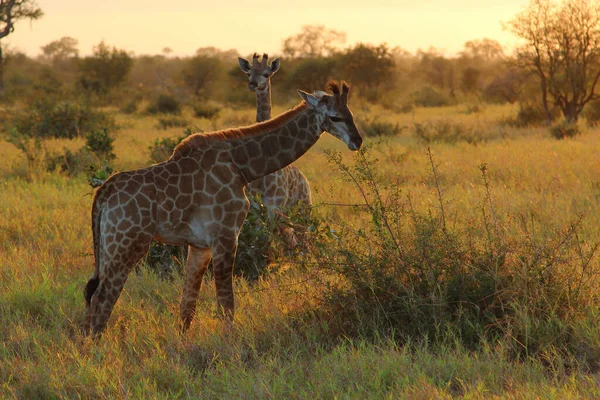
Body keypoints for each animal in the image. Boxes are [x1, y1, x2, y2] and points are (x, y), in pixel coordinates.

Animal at [84, 81, 364, 334]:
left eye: (350, 113)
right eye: (335, 116)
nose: (357, 141)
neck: (241, 166)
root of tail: (104, 192)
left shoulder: (200, 245)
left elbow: (187, 305)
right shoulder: (227, 235)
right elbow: (226, 303)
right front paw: (230, 345)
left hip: (109, 245)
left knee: (91, 293)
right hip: (128, 244)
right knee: (102, 298)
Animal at [238, 53, 314, 212]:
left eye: (267, 74)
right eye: (248, 73)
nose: (253, 84)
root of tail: (304, 179)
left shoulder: (275, 203)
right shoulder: (253, 205)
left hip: (304, 207)